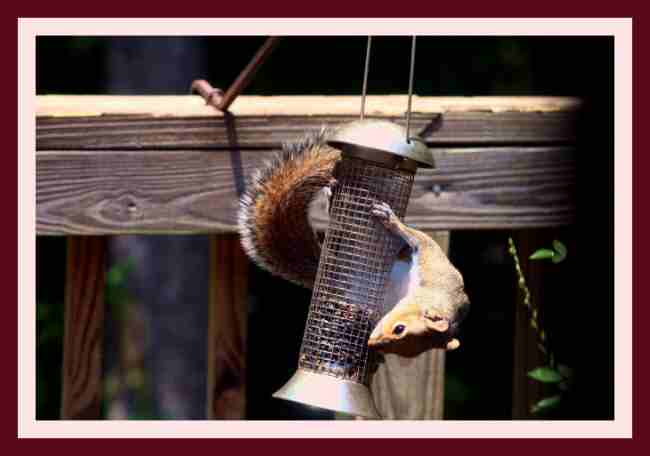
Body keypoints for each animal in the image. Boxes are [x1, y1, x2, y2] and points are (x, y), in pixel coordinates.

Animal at [237, 127, 466, 356]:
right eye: (400, 329)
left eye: (400, 349)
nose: (371, 344)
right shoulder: (430, 259)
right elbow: (415, 238)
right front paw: (392, 220)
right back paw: (334, 201)